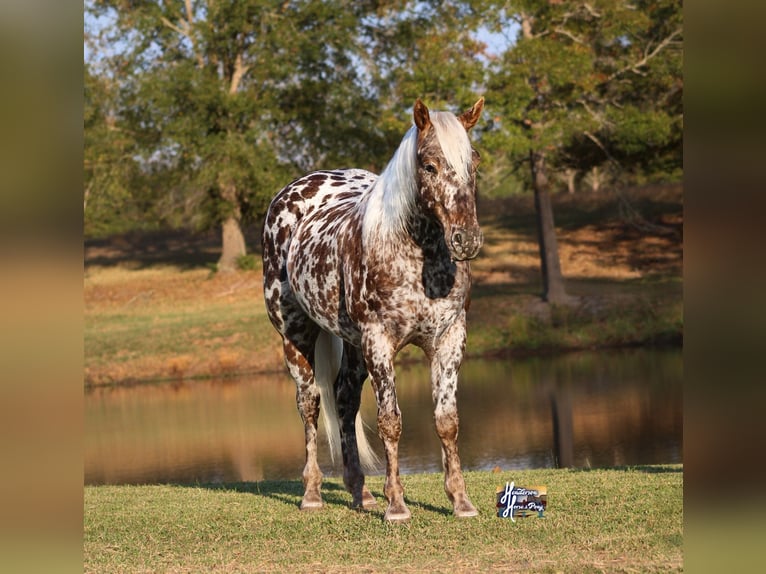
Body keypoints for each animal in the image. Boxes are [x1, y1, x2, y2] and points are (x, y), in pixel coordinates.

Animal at [264, 98, 486, 520]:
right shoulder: (380, 342)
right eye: (428, 165)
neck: (419, 259)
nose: (465, 239)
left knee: (345, 401)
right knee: (310, 404)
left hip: (353, 346)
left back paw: (360, 492)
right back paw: (312, 493)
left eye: (475, 163)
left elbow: (447, 421)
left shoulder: (450, 339)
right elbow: (390, 422)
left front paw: (461, 500)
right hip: (297, 336)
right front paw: (396, 504)